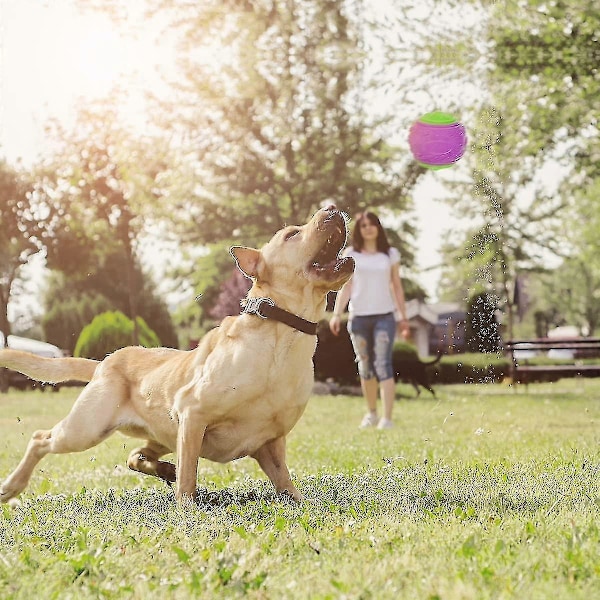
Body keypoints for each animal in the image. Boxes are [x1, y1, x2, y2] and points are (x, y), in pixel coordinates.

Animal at [0, 204, 354, 504]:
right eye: (291, 234)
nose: (333, 208)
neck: (281, 336)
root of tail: (105, 361)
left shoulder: (270, 443)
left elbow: (286, 485)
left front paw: (300, 503)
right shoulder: (192, 412)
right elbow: (188, 476)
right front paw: (186, 510)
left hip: (160, 431)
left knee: (135, 454)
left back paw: (160, 468)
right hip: (87, 428)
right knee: (41, 438)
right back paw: (11, 487)